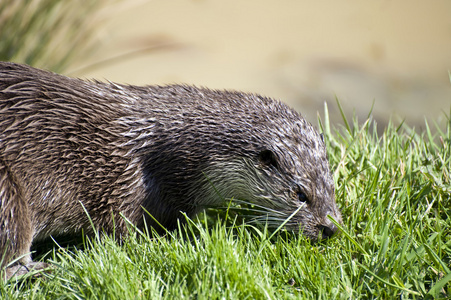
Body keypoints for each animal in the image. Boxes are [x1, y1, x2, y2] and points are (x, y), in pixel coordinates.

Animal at [0, 62, 340, 280]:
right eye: (301, 194)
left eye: (331, 186)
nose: (330, 228)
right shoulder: (121, 190)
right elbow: (120, 235)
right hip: (8, 192)